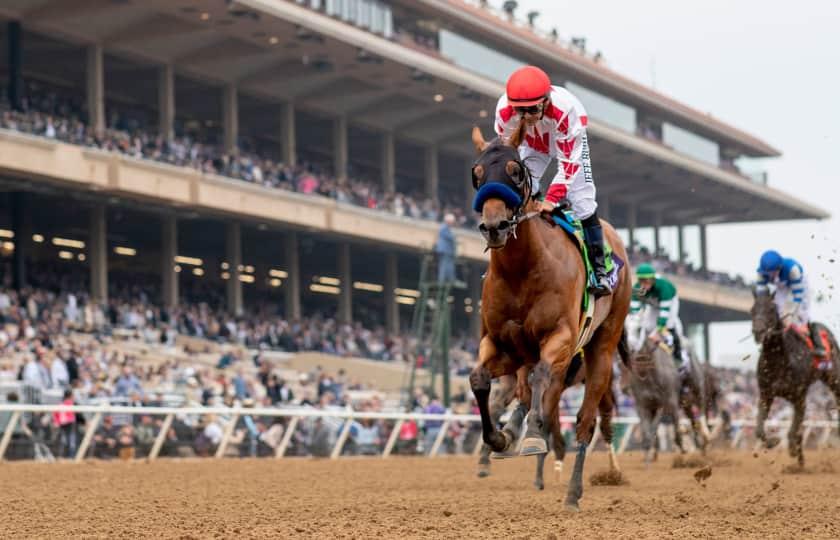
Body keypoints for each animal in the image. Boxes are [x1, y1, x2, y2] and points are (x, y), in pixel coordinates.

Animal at [752, 284, 836, 466]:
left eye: (771, 309)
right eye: (752, 309)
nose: (758, 331)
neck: (779, 360)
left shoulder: (799, 397)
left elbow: (794, 431)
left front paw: (793, 450)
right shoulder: (766, 394)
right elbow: (759, 429)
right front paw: (773, 441)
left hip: (834, 378)